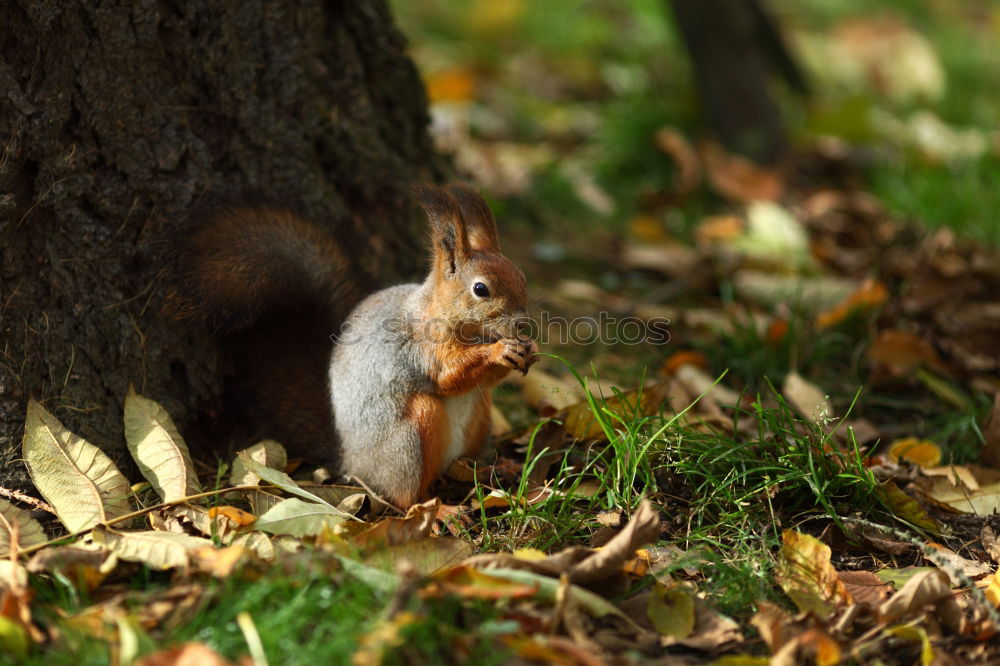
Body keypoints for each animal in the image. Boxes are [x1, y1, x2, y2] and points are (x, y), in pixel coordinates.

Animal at [168, 182, 536, 504]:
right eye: (480, 289)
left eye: (522, 277)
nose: (524, 324)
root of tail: (351, 461)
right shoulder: (420, 348)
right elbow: (449, 375)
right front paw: (499, 350)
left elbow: (483, 379)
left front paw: (526, 349)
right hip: (413, 434)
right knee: (404, 496)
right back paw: (438, 509)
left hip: (479, 417)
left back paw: (490, 470)